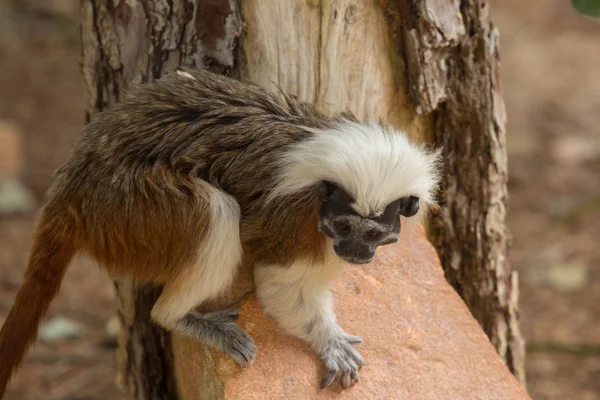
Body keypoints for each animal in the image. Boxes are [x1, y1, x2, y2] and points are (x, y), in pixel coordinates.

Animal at [0, 66, 438, 394]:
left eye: (373, 235)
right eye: (345, 226)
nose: (354, 254)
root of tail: (72, 186)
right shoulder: (295, 221)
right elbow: (280, 285)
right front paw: (328, 341)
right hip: (122, 208)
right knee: (217, 211)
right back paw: (180, 317)